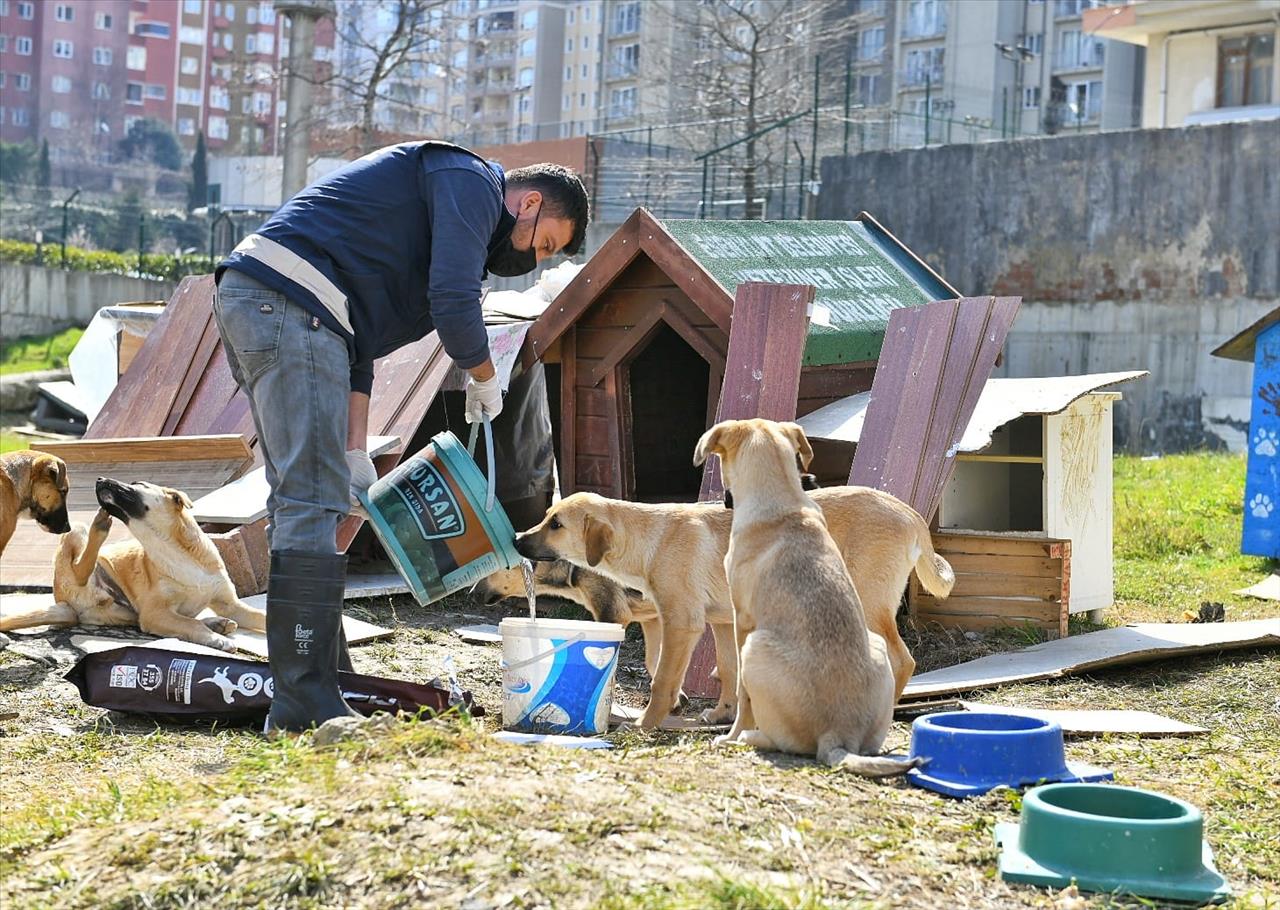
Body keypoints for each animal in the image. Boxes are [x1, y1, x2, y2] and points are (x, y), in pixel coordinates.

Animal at [0, 473, 266, 650]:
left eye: (137, 484)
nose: (99, 479)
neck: (172, 548)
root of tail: (63, 603)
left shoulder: (230, 604)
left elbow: (260, 617)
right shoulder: (154, 613)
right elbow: (191, 625)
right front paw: (215, 639)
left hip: (123, 613)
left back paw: (217, 622)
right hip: (77, 533)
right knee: (80, 569)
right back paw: (99, 526)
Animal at [509, 483, 952, 732]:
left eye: (556, 525)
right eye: (546, 517)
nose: (515, 539)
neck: (651, 537)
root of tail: (908, 511)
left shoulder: (683, 623)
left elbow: (663, 680)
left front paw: (647, 723)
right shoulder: (723, 621)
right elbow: (728, 669)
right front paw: (723, 715)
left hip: (869, 604)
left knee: (904, 660)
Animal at [701, 417, 921, 778]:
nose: (724, 500)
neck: (783, 505)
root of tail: (838, 736)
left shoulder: (741, 621)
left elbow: (741, 694)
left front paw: (729, 734)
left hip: (757, 646)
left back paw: (749, 737)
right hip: (873, 641)